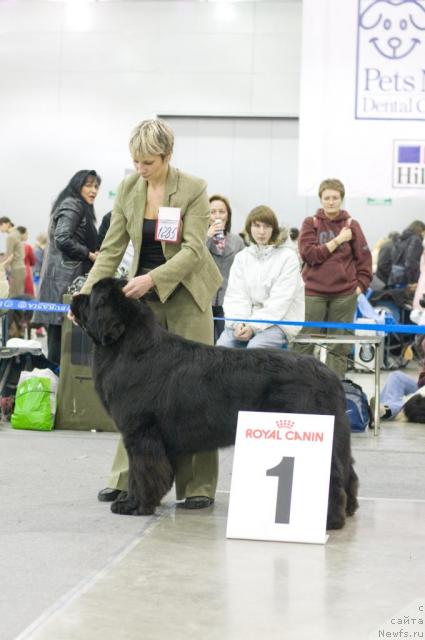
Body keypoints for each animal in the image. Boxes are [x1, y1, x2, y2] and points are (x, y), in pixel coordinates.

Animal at [72, 278, 358, 528]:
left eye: (92, 297)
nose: (75, 296)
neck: (130, 347)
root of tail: (329, 376)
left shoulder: (140, 434)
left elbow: (141, 472)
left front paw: (132, 504)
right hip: (336, 439)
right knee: (347, 472)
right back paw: (349, 509)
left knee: (330, 477)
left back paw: (329, 520)